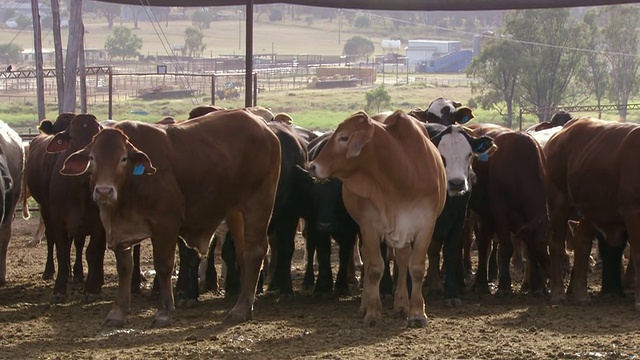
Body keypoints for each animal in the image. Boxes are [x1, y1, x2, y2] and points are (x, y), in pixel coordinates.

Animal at [60, 109, 280, 326]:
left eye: (123, 158)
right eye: (92, 158)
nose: (104, 191)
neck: (132, 183)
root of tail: (263, 127)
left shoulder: (165, 225)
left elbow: (163, 265)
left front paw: (164, 312)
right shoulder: (119, 233)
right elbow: (124, 267)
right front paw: (117, 313)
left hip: (258, 202)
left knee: (254, 252)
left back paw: (240, 309)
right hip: (236, 212)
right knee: (243, 254)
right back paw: (246, 304)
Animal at [308, 109, 448, 326]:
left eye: (344, 137)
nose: (313, 166)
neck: (401, 173)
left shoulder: (426, 224)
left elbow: (416, 268)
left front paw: (417, 313)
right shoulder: (368, 225)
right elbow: (374, 268)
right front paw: (372, 312)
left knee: (402, 259)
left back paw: (401, 305)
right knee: (370, 258)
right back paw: (367, 305)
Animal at [544, 116, 640, 310]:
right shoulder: (633, 212)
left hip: (591, 210)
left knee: (582, 243)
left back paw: (581, 294)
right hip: (558, 203)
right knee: (556, 244)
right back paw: (557, 294)